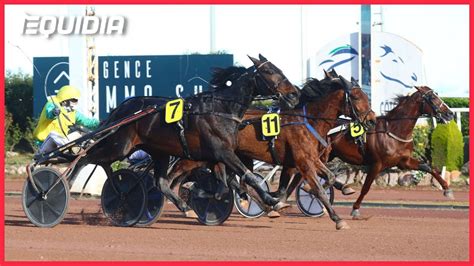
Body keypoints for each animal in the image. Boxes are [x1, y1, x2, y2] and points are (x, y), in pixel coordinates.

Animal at [168, 71, 376, 230]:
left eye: (367, 96)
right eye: (356, 97)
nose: (372, 120)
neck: (307, 121)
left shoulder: (308, 159)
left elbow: (327, 178)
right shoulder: (302, 161)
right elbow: (316, 187)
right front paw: (337, 219)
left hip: (233, 156)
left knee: (231, 180)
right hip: (201, 155)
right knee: (176, 174)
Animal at [326, 85, 456, 218]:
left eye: (437, 94)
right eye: (432, 97)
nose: (450, 113)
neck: (394, 130)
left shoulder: (404, 161)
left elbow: (429, 168)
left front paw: (447, 189)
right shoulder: (377, 164)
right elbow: (366, 187)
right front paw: (355, 209)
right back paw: (343, 187)